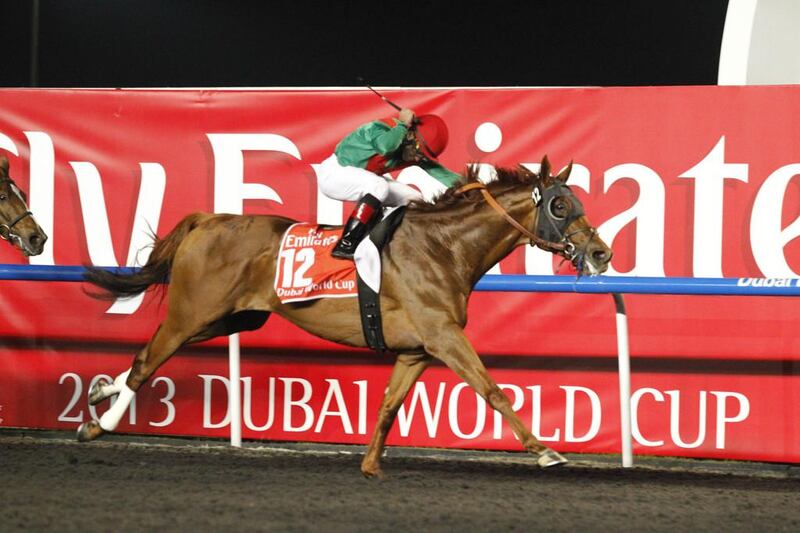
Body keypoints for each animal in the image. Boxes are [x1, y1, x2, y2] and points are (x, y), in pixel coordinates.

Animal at [79, 156, 612, 476]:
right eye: (559, 205)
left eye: (577, 201)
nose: (601, 253)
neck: (445, 247)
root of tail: (210, 219)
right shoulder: (444, 337)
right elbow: (493, 390)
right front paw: (546, 450)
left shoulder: (417, 350)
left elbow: (389, 405)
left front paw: (371, 465)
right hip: (192, 312)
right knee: (148, 361)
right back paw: (99, 425)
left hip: (232, 318)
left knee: (143, 360)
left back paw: (100, 394)